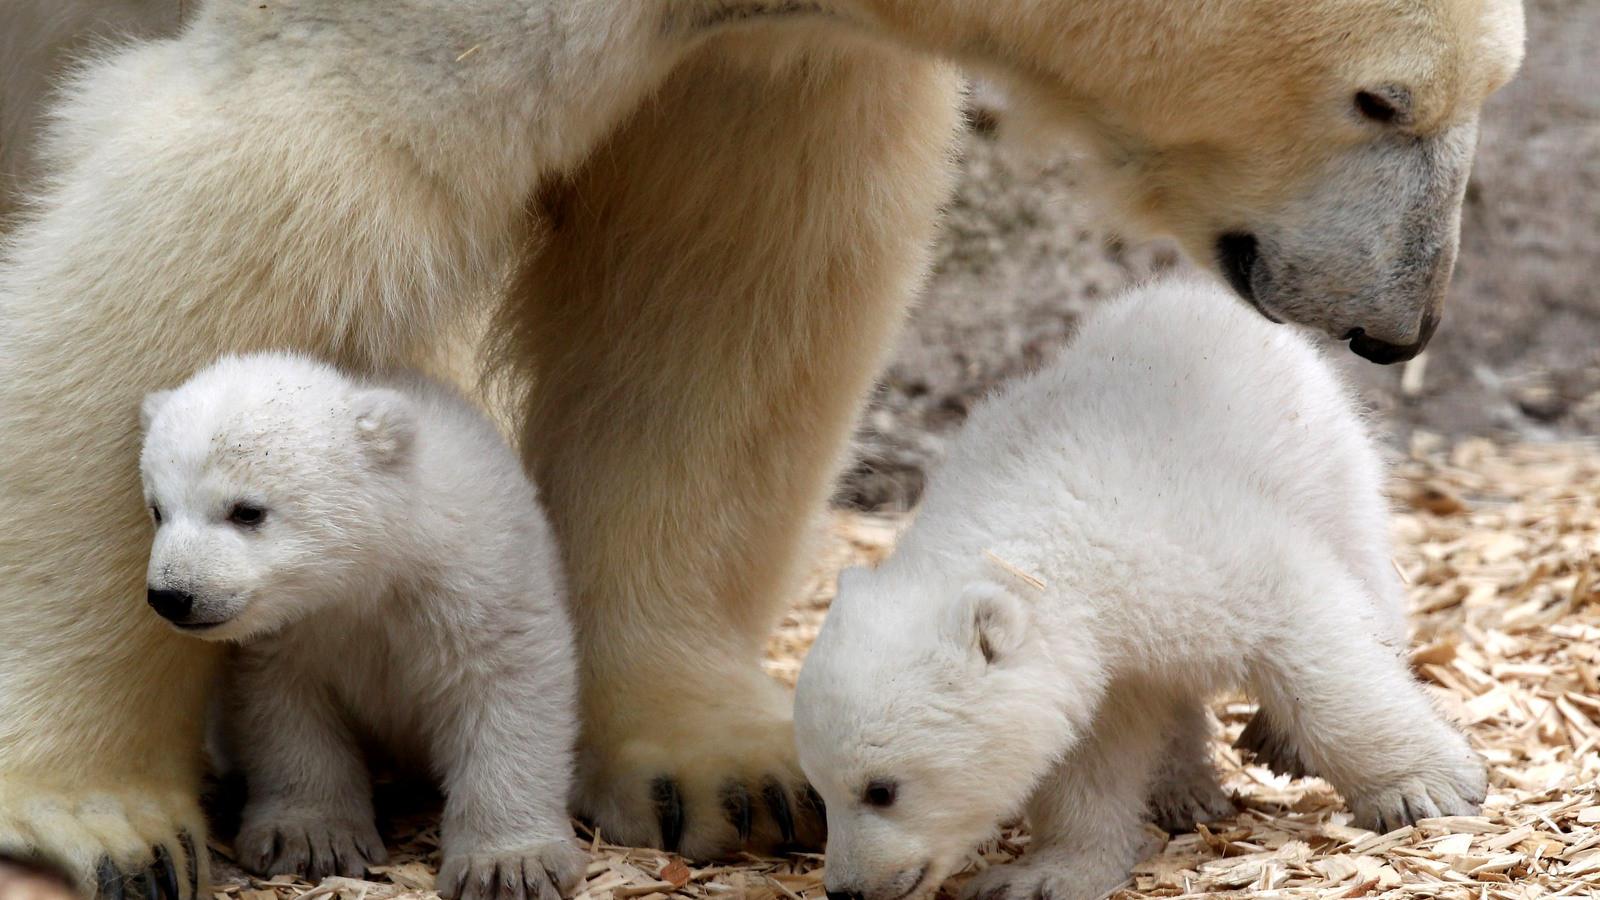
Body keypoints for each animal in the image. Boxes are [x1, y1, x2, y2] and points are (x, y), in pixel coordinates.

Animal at [0, 1, 1523, 890]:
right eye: (1384, 100)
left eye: (1484, 91)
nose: (1400, 321)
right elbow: (257, 181)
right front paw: (97, 811)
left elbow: (727, 246)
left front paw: (711, 768)